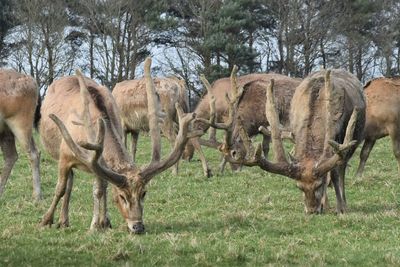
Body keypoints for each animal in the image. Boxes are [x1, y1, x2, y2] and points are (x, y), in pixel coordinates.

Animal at [0, 69, 41, 201]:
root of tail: (32, 81)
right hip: (6, 130)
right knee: (11, 156)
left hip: (20, 122)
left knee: (33, 153)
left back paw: (37, 196)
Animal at [38, 57, 200, 233]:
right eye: (122, 196)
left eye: (144, 193)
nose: (138, 226)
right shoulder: (65, 156)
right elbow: (60, 188)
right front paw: (46, 220)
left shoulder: (97, 162)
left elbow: (100, 189)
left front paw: (101, 222)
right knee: (67, 183)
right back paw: (60, 219)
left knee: (75, 182)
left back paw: (64, 220)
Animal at [202, 68, 368, 215]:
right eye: (299, 187)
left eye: (318, 185)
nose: (311, 210)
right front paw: (324, 205)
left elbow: (333, 173)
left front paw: (340, 208)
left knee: (341, 168)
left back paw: (342, 203)